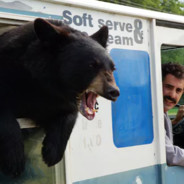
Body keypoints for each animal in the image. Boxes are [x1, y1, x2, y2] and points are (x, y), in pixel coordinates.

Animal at [0, 18, 120, 177]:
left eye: (112, 68)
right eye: (92, 65)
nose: (114, 91)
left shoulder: (60, 100)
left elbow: (68, 114)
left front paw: (52, 153)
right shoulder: (10, 71)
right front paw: (14, 158)